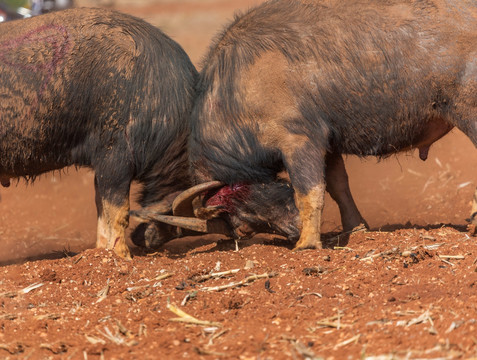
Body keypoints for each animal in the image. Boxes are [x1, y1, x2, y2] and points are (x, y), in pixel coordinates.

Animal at [188, 0, 476, 249]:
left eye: (241, 212)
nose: (242, 231)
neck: (236, 89)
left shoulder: (299, 142)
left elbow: (309, 192)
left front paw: (307, 243)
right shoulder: (328, 144)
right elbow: (338, 187)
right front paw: (355, 227)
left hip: (467, 113)